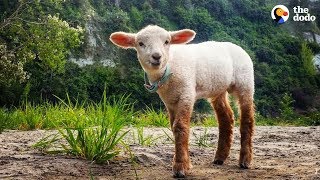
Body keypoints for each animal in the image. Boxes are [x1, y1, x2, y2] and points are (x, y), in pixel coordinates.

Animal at [110, 24, 255, 178]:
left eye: (167, 42)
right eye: (140, 43)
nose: (157, 56)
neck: (169, 68)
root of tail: (236, 46)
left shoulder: (187, 93)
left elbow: (180, 127)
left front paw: (180, 167)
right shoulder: (169, 101)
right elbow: (173, 128)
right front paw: (185, 163)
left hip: (245, 81)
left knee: (247, 119)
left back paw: (245, 160)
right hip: (218, 88)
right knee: (226, 118)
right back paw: (220, 158)